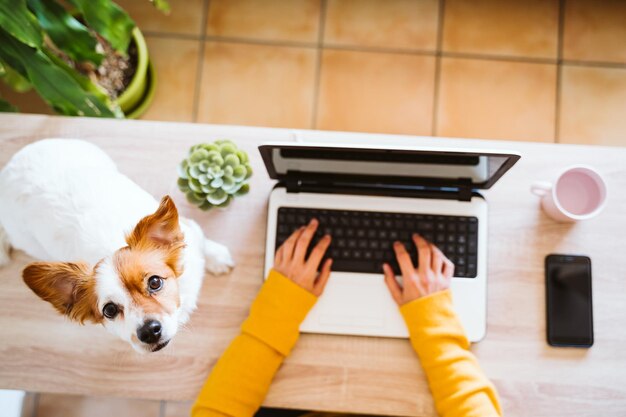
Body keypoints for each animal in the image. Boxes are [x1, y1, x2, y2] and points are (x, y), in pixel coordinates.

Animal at [0, 139, 233, 352]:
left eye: (155, 282)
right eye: (110, 310)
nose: (149, 331)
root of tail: (11, 166)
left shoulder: (190, 231)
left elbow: (203, 241)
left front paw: (218, 258)